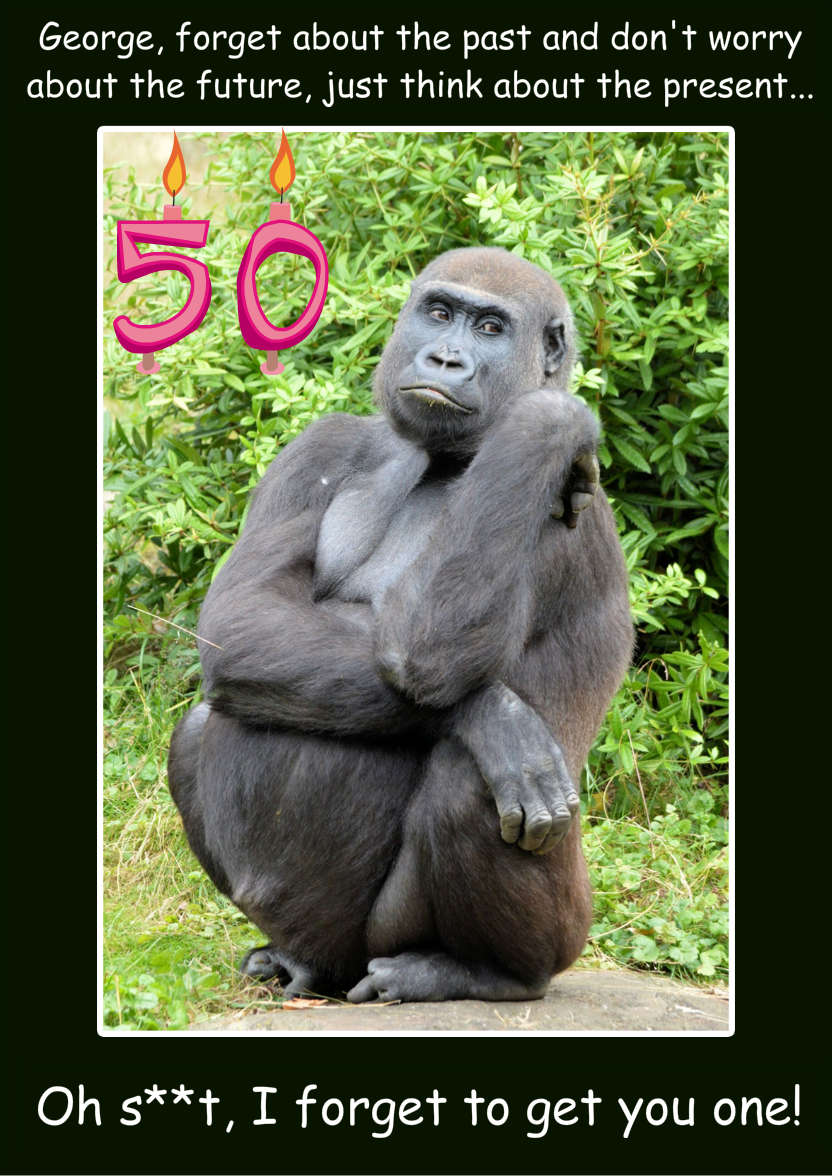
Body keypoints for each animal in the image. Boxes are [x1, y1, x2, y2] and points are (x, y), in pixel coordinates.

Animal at [168, 246, 633, 1003]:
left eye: (491, 328)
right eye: (439, 314)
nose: (445, 358)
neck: (444, 460)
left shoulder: (563, 504)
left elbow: (433, 653)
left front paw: (548, 420)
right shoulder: (320, 446)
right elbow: (241, 621)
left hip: (514, 941)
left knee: (471, 786)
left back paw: (487, 973)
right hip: (331, 952)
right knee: (199, 726)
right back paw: (295, 958)